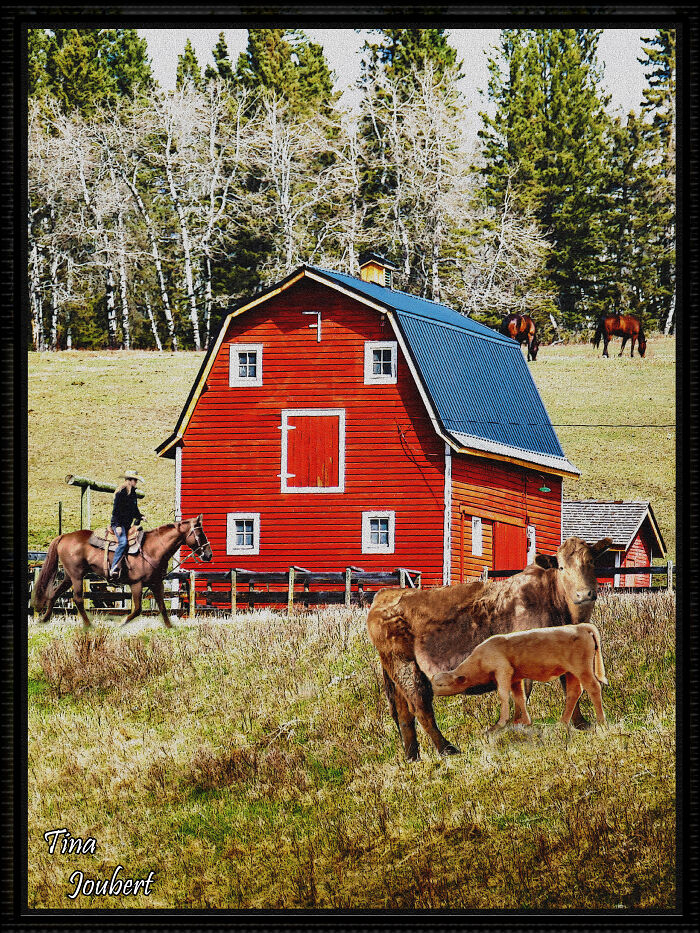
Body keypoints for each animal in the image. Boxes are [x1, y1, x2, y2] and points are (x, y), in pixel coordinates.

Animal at [431, 623, 608, 731]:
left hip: (582, 669)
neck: (480, 658)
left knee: (593, 687)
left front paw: (500, 724)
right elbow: (520, 697)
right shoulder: (515, 678)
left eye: (441, 684)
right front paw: (523, 722)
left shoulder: (503, 671)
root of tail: (579, 626)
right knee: (573, 693)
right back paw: (562, 723)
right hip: (571, 672)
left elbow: (503, 695)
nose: (429, 691)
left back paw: (601, 722)